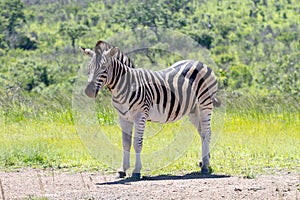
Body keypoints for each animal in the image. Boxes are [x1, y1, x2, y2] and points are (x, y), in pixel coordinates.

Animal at [81, 41, 219, 179]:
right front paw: (122, 170)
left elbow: (137, 143)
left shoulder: (140, 116)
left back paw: (205, 166)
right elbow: (126, 143)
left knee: (207, 132)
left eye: (104, 68)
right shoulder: (124, 118)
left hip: (205, 104)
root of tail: (200, 63)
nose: (88, 91)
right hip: (193, 110)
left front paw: (136, 171)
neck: (127, 86)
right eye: (89, 67)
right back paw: (204, 160)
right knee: (202, 133)